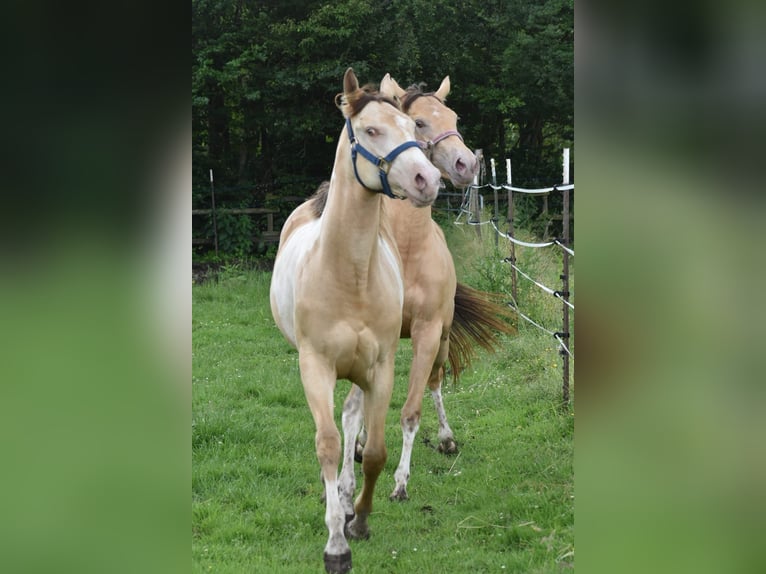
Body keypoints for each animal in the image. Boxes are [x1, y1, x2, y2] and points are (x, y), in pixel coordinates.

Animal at [269, 68, 441, 574]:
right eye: (370, 131)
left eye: (411, 128)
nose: (428, 179)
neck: (348, 275)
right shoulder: (316, 367)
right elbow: (328, 444)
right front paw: (336, 545)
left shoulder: (380, 368)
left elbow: (375, 451)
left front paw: (360, 520)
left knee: (354, 421)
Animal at [342, 75, 516, 501]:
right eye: (418, 122)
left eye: (453, 118)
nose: (466, 164)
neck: (406, 250)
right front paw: (360, 450)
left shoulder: (427, 332)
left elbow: (411, 410)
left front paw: (400, 482)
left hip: (443, 340)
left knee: (435, 383)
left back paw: (446, 438)